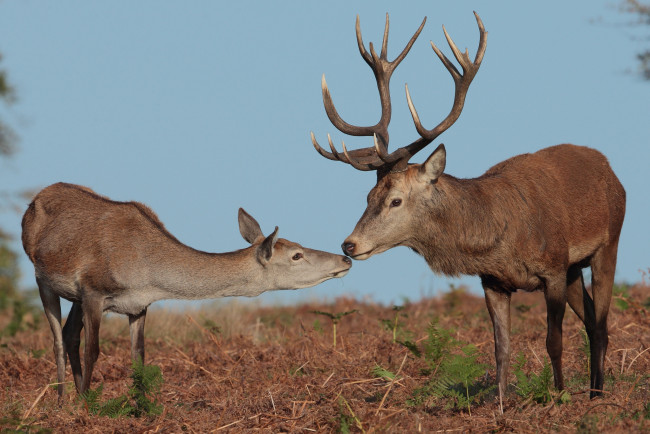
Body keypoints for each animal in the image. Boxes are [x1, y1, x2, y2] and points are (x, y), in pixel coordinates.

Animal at [20, 182, 350, 400]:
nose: (345, 258)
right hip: (42, 279)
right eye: (296, 255)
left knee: (69, 334)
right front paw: (89, 406)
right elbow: (94, 350)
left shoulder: (137, 305)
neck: (146, 273)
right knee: (58, 339)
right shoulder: (93, 291)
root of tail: (33, 201)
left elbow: (138, 356)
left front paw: (140, 407)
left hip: (73, 298)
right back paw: (64, 402)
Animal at [312, 11, 624, 400]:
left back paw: (596, 395)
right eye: (368, 197)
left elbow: (553, 341)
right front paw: (502, 404)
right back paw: (595, 391)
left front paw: (558, 397)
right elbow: (501, 348)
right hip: (574, 269)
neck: (500, 240)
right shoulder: (493, 282)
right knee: (593, 322)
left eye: (396, 200)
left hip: (607, 244)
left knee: (602, 323)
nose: (349, 244)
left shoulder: (552, 267)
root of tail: (610, 170)